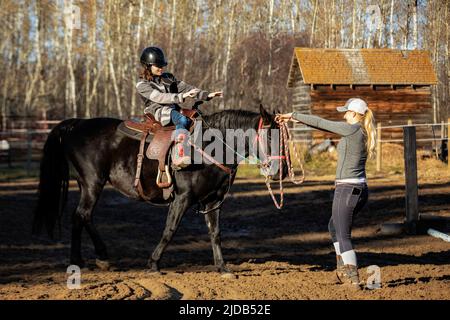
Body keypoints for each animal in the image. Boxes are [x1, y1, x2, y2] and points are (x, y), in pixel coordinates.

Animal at [31, 105, 286, 276]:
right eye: (268, 136)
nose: (281, 172)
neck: (209, 147)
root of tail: (77, 124)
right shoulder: (182, 198)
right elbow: (169, 230)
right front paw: (153, 264)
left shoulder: (213, 201)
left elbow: (215, 233)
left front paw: (222, 267)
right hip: (93, 183)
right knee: (81, 215)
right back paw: (87, 259)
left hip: (88, 185)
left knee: (82, 217)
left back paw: (93, 258)